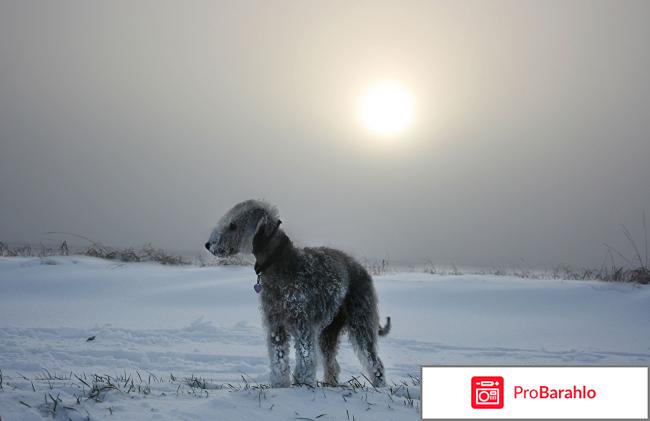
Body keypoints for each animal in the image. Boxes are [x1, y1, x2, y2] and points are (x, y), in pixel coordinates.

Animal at [205, 199, 388, 386]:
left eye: (233, 225)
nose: (209, 245)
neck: (279, 262)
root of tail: (361, 268)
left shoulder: (303, 322)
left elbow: (306, 358)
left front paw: (302, 385)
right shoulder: (275, 322)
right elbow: (278, 358)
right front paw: (280, 385)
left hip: (360, 319)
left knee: (374, 361)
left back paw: (379, 386)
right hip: (328, 331)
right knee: (332, 363)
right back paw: (330, 384)